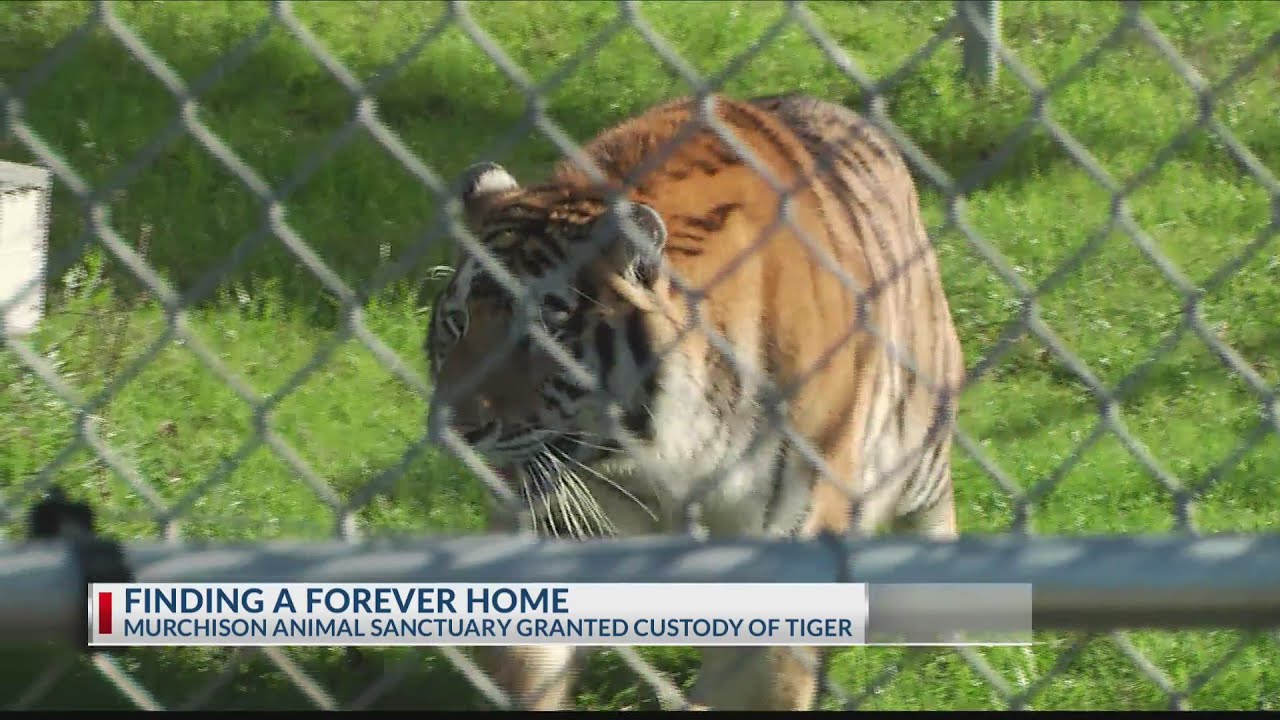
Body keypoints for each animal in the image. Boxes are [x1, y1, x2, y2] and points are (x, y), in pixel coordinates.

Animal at [424, 93, 965, 711]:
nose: (456, 429)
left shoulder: (788, 536)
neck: (652, 454)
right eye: (457, 323)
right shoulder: (552, 521)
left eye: (539, 333)